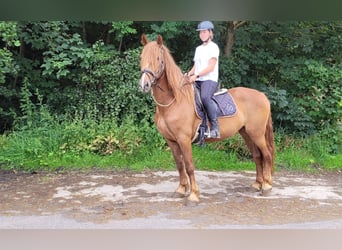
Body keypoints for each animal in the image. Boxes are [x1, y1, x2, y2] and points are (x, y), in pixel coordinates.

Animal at [138, 34, 274, 202]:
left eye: (158, 58)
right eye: (141, 57)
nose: (144, 85)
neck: (175, 101)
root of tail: (262, 95)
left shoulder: (183, 139)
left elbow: (189, 165)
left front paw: (193, 194)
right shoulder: (171, 140)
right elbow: (179, 165)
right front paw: (181, 189)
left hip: (257, 133)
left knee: (267, 154)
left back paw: (267, 186)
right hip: (246, 133)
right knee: (257, 156)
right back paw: (257, 184)